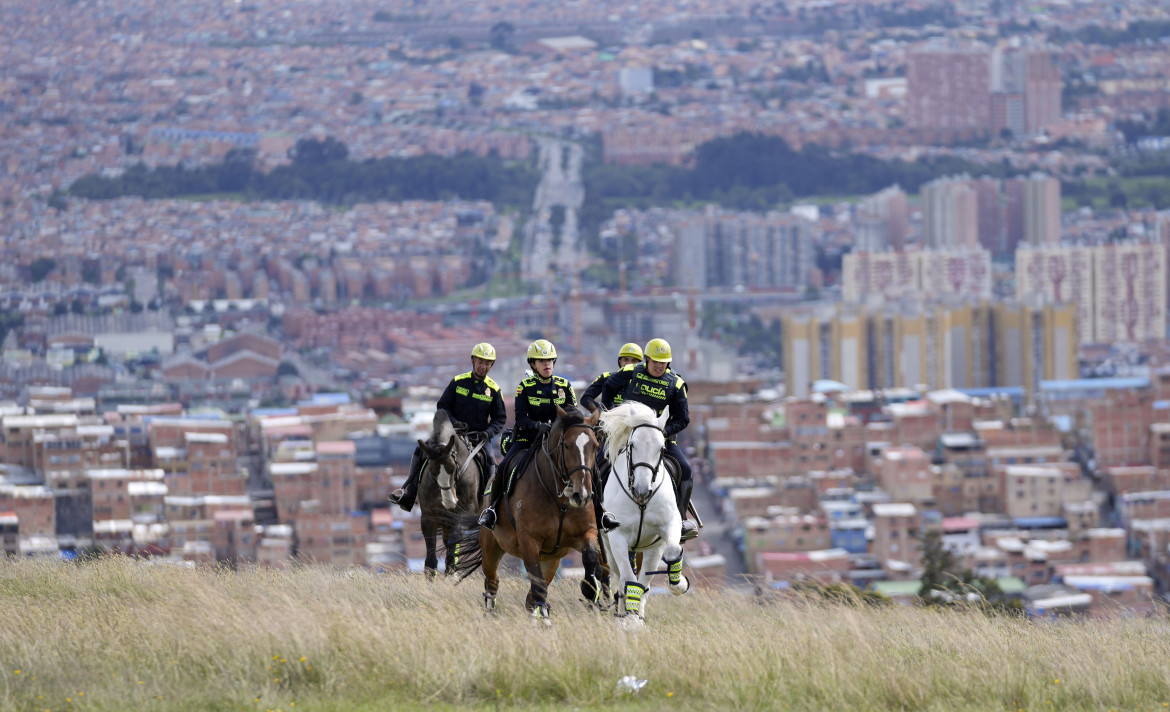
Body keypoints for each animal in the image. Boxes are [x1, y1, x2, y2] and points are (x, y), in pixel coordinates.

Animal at [416, 411, 479, 577]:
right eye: (432, 471)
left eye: (453, 468)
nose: (449, 502)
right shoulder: (428, 518)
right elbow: (431, 560)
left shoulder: (467, 513)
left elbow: (454, 540)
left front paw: (452, 572)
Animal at [449, 404, 603, 621]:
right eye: (566, 445)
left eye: (596, 446)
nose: (581, 494)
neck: (561, 501)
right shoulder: (529, 542)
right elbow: (537, 586)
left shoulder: (586, 533)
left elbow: (590, 559)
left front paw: (590, 592)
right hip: (491, 547)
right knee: (492, 584)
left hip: (552, 559)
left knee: (532, 593)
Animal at [603, 399, 683, 621]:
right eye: (632, 445)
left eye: (662, 448)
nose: (642, 490)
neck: (640, 503)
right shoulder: (617, 536)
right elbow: (628, 578)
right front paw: (631, 620)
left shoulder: (665, 531)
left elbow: (672, 552)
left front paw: (679, 585)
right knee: (620, 576)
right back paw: (623, 612)